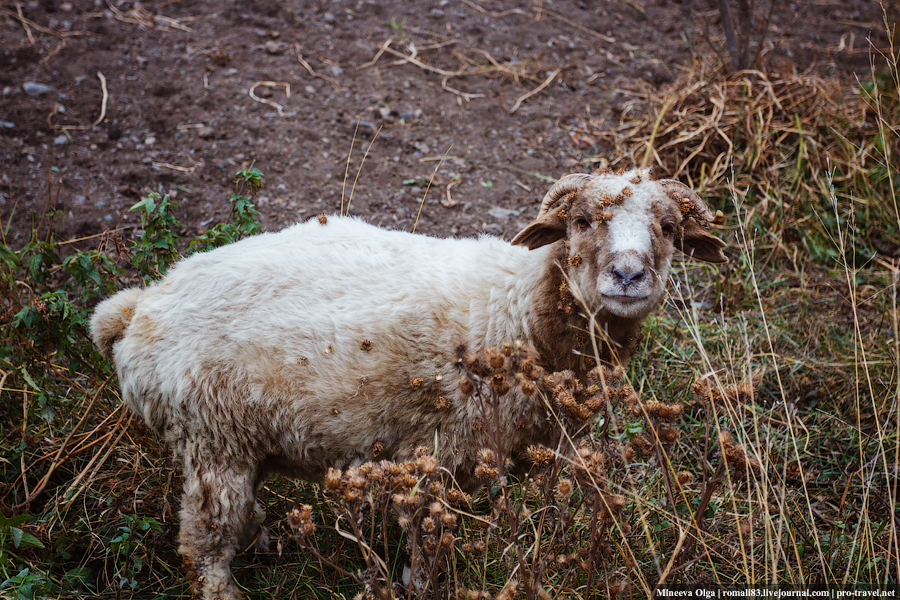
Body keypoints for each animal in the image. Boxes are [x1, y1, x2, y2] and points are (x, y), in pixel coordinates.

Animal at [89, 166, 724, 596]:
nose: (628, 275)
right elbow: (423, 558)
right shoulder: (439, 453)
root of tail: (137, 308)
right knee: (203, 551)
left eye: (668, 228)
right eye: (582, 221)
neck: (514, 312)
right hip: (212, 441)